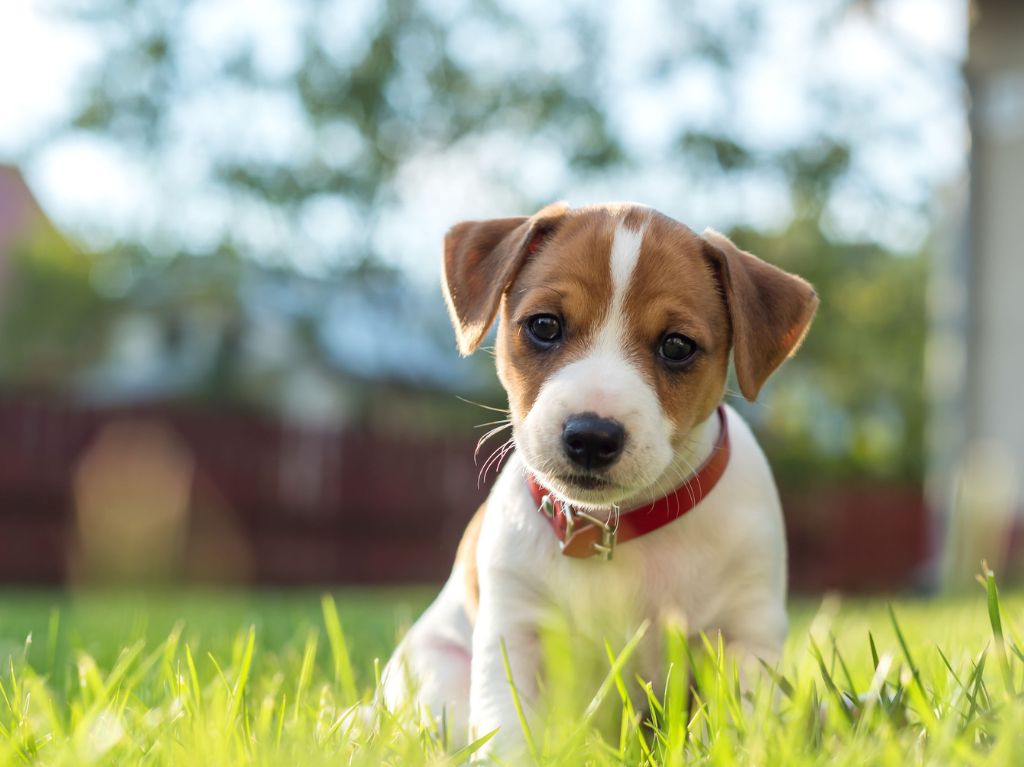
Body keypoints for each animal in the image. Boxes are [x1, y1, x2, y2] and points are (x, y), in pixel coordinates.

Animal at [380, 200, 819, 757]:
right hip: (435, 675)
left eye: (677, 346)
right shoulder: (513, 633)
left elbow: (726, 731)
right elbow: (509, 734)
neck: (613, 526)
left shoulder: (745, 638)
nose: (591, 436)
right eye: (545, 325)